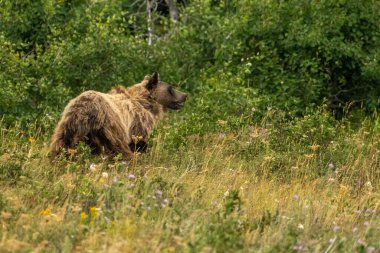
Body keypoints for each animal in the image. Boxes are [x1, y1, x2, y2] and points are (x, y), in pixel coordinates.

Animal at [50, 72, 187, 158]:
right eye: (171, 88)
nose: (185, 95)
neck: (145, 103)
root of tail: (84, 111)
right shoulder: (137, 121)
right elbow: (138, 143)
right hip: (110, 126)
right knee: (118, 148)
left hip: (68, 124)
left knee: (62, 144)